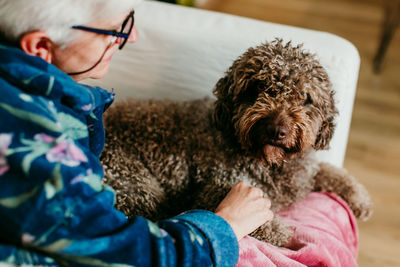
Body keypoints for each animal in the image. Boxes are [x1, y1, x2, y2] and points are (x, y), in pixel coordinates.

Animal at [101, 39, 372, 247]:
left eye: (304, 98)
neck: (272, 162)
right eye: (256, 89)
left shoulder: (304, 174)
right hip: (135, 184)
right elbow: (267, 227)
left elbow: (331, 172)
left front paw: (359, 198)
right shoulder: (214, 189)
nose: (276, 130)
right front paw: (285, 236)